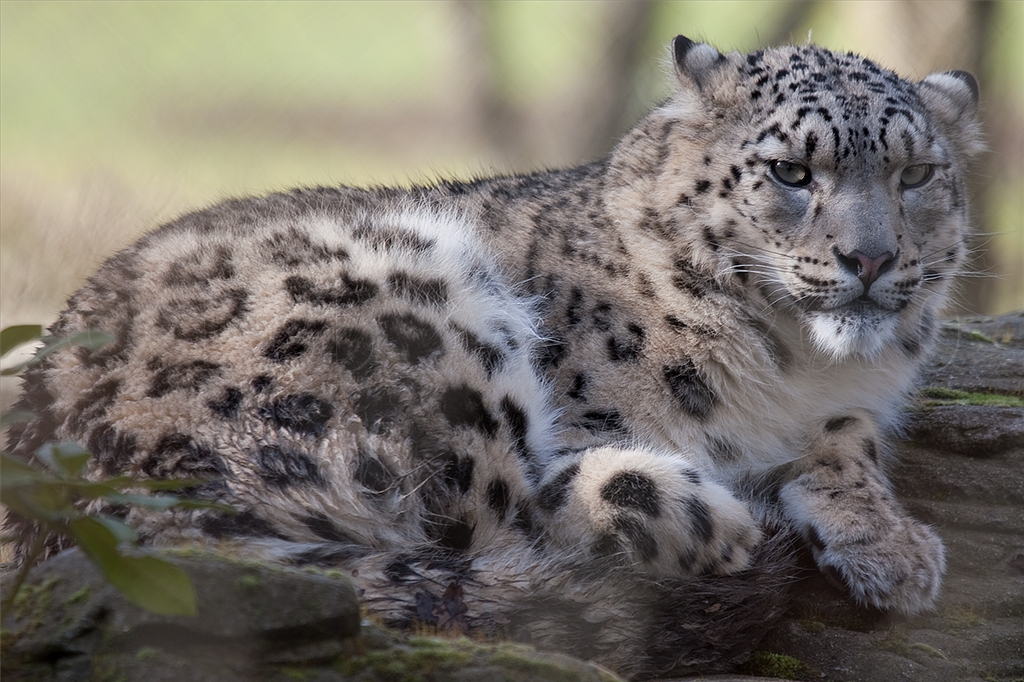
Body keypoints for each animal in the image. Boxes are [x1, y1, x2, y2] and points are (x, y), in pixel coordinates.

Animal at [6, 36, 982, 678]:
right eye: (790, 171)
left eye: (917, 174)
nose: (870, 259)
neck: (799, 367)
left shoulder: (852, 402)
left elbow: (849, 439)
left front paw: (890, 545)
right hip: (419, 318)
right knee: (488, 530)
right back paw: (696, 515)